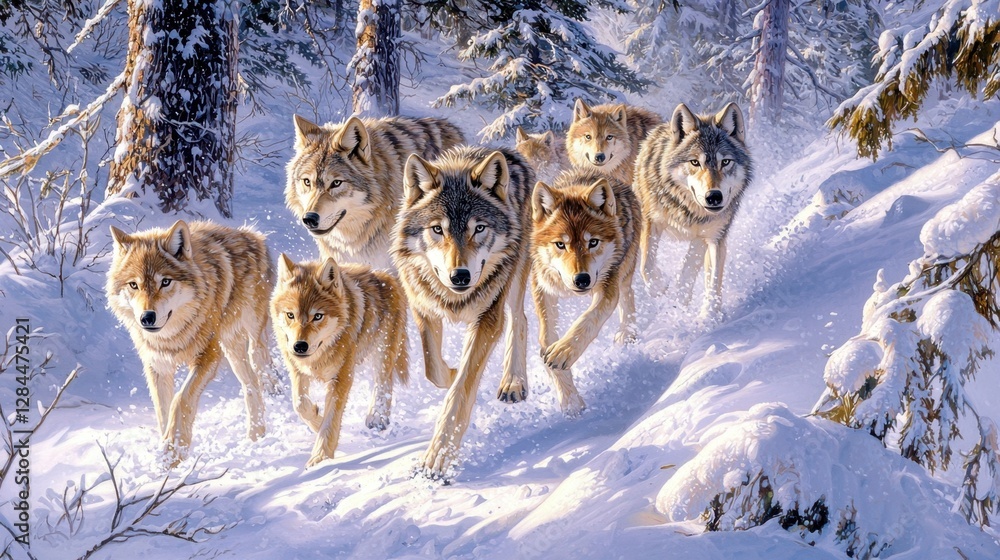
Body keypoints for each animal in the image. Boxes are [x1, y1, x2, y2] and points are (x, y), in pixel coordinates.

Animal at [107, 220, 276, 466]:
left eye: (165, 282)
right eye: (134, 285)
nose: (147, 317)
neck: (171, 337)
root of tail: (252, 234)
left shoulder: (208, 356)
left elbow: (181, 399)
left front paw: (175, 449)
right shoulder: (157, 366)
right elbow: (163, 409)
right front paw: (167, 453)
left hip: (250, 335)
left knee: (260, 365)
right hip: (231, 347)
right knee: (251, 383)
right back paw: (256, 435)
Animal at [270, 254, 409, 467]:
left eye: (318, 316)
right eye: (290, 315)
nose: (299, 346)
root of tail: (386, 275)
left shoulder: (341, 378)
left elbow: (330, 420)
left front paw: (320, 458)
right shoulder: (298, 371)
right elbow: (300, 405)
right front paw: (317, 418)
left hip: (382, 353)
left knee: (383, 382)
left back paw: (377, 418)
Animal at [391, 146, 534, 479]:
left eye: (478, 228)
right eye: (437, 229)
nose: (460, 276)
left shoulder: (488, 320)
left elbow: (458, 394)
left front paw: (438, 458)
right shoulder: (423, 309)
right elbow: (433, 370)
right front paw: (452, 372)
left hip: (514, 280)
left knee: (519, 318)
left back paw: (514, 382)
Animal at [530, 169, 641, 415]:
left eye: (593, 242)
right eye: (560, 244)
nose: (581, 279)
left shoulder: (607, 287)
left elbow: (587, 321)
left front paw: (563, 352)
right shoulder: (543, 288)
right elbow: (545, 338)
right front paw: (569, 400)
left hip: (625, 267)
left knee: (627, 295)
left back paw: (627, 334)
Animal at [633, 102, 752, 316]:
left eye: (725, 162)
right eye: (695, 162)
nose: (714, 196)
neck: (691, 212)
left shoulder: (712, 237)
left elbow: (709, 280)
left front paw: (708, 316)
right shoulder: (651, 222)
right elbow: (647, 266)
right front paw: (660, 287)